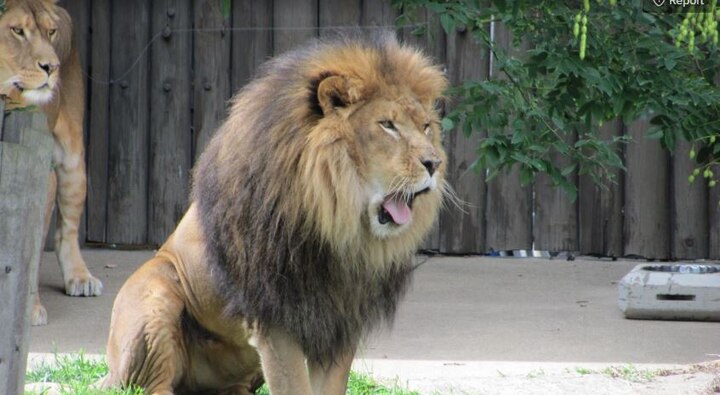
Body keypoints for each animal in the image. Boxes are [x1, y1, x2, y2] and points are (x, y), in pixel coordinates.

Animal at [0, 0, 102, 328]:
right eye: (17, 31)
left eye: (51, 32)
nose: (52, 67)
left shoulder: (42, 176)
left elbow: (29, 251)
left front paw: (29, 310)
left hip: (71, 160)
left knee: (65, 232)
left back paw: (81, 279)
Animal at [102, 32, 444, 394]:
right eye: (387, 125)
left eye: (425, 127)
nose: (434, 163)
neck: (335, 226)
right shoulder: (274, 319)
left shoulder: (340, 322)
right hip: (155, 295)